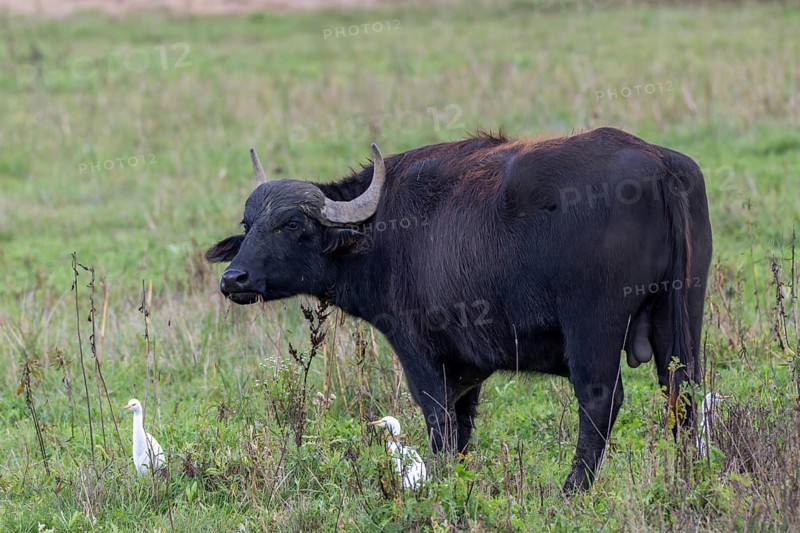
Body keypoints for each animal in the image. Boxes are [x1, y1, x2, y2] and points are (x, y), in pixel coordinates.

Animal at [206, 127, 712, 492]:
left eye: (291, 224)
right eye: (248, 225)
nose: (234, 280)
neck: (382, 232)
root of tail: (659, 167)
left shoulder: (420, 353)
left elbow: (440, 423)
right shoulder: (470, 365)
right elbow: (463, 427)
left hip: (594, 326)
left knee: (600, 400)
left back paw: (573, 489)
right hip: (682, 312)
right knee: (682, 393)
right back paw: (686, 477)